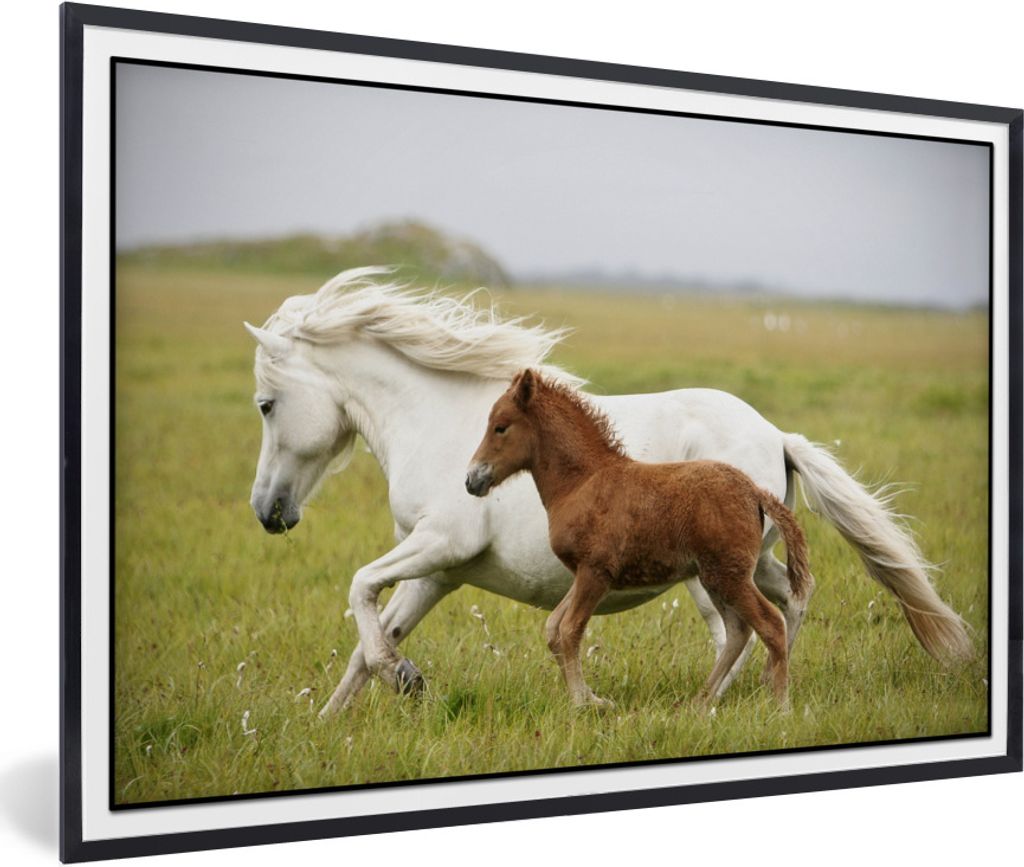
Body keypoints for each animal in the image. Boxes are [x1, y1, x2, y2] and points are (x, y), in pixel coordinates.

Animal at [466, 369, 812, 708]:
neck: (582, 482)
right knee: (739, 630)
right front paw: (592, 700)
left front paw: (581, 704)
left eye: (500, 427)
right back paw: (699, 704)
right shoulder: (582, 574)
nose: (472, 479)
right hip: (715, 577)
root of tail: (754, 491)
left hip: (730, 576)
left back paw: (780, 707)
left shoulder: (595, 572)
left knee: (770, 625)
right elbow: (553, 627)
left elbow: (570, 629)